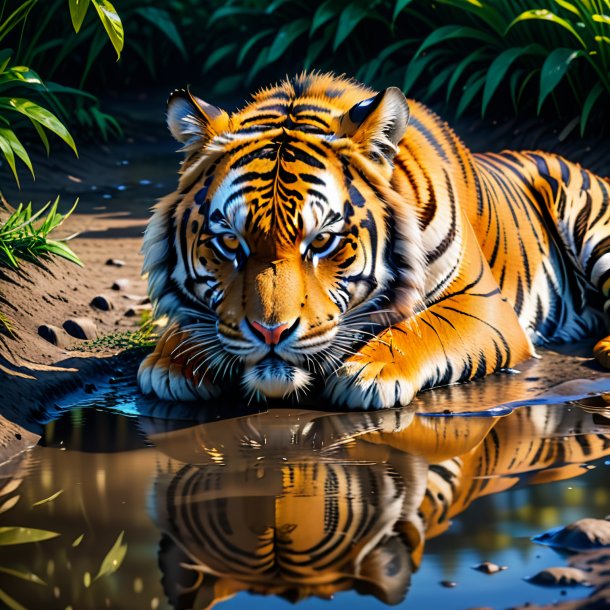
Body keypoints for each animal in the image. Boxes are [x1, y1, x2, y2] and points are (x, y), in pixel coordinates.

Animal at [137, 71, 608, 408]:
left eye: (322, 242)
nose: (271, 333)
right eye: (232, 244)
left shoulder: (483, 302)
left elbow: (426, 326)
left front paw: (370, 372)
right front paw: (171, 361)